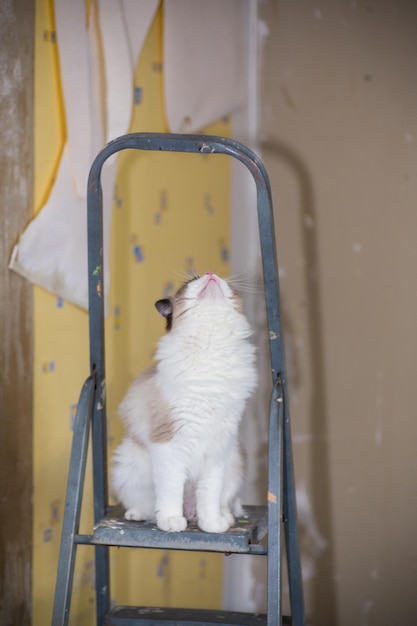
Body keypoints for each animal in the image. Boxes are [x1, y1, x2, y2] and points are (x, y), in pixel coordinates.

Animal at [112, 270, 258, 528]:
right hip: (128, 465)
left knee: (221, 503)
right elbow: (171, 491)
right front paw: (172, 522)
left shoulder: (217, 447)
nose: (210, 273)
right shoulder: (170, 445)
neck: (211, 344)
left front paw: (212, 526)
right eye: (193, 280)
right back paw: (144, 515)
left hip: (232, 462)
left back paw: (222, 519)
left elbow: (209, 497)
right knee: (149, 505)